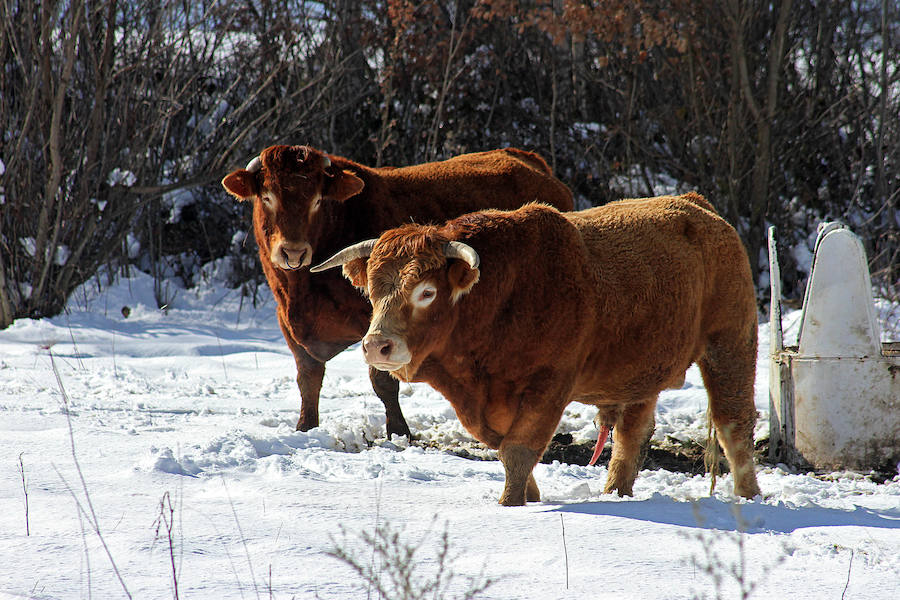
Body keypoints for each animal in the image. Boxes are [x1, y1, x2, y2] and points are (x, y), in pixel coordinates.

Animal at [221, 145, 572, 436]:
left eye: (318, 200)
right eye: (267, 197)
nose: (292, 252)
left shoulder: (380, 324)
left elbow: (382, 380)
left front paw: (399, 431)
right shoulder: (288, 322)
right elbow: (308, 377)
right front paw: (306, 427)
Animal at [312, 195, 764, 504]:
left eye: (426, 291)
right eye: (371, 291)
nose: (377, 345)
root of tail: (697, 206)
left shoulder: (549, 385)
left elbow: (517, 449)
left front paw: (510, 504)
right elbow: (505, 448)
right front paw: (529, 497)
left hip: (730, 344)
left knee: (733, 424)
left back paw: (748, 495)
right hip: (640, 374)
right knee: (631, 434)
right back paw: (614, 491)